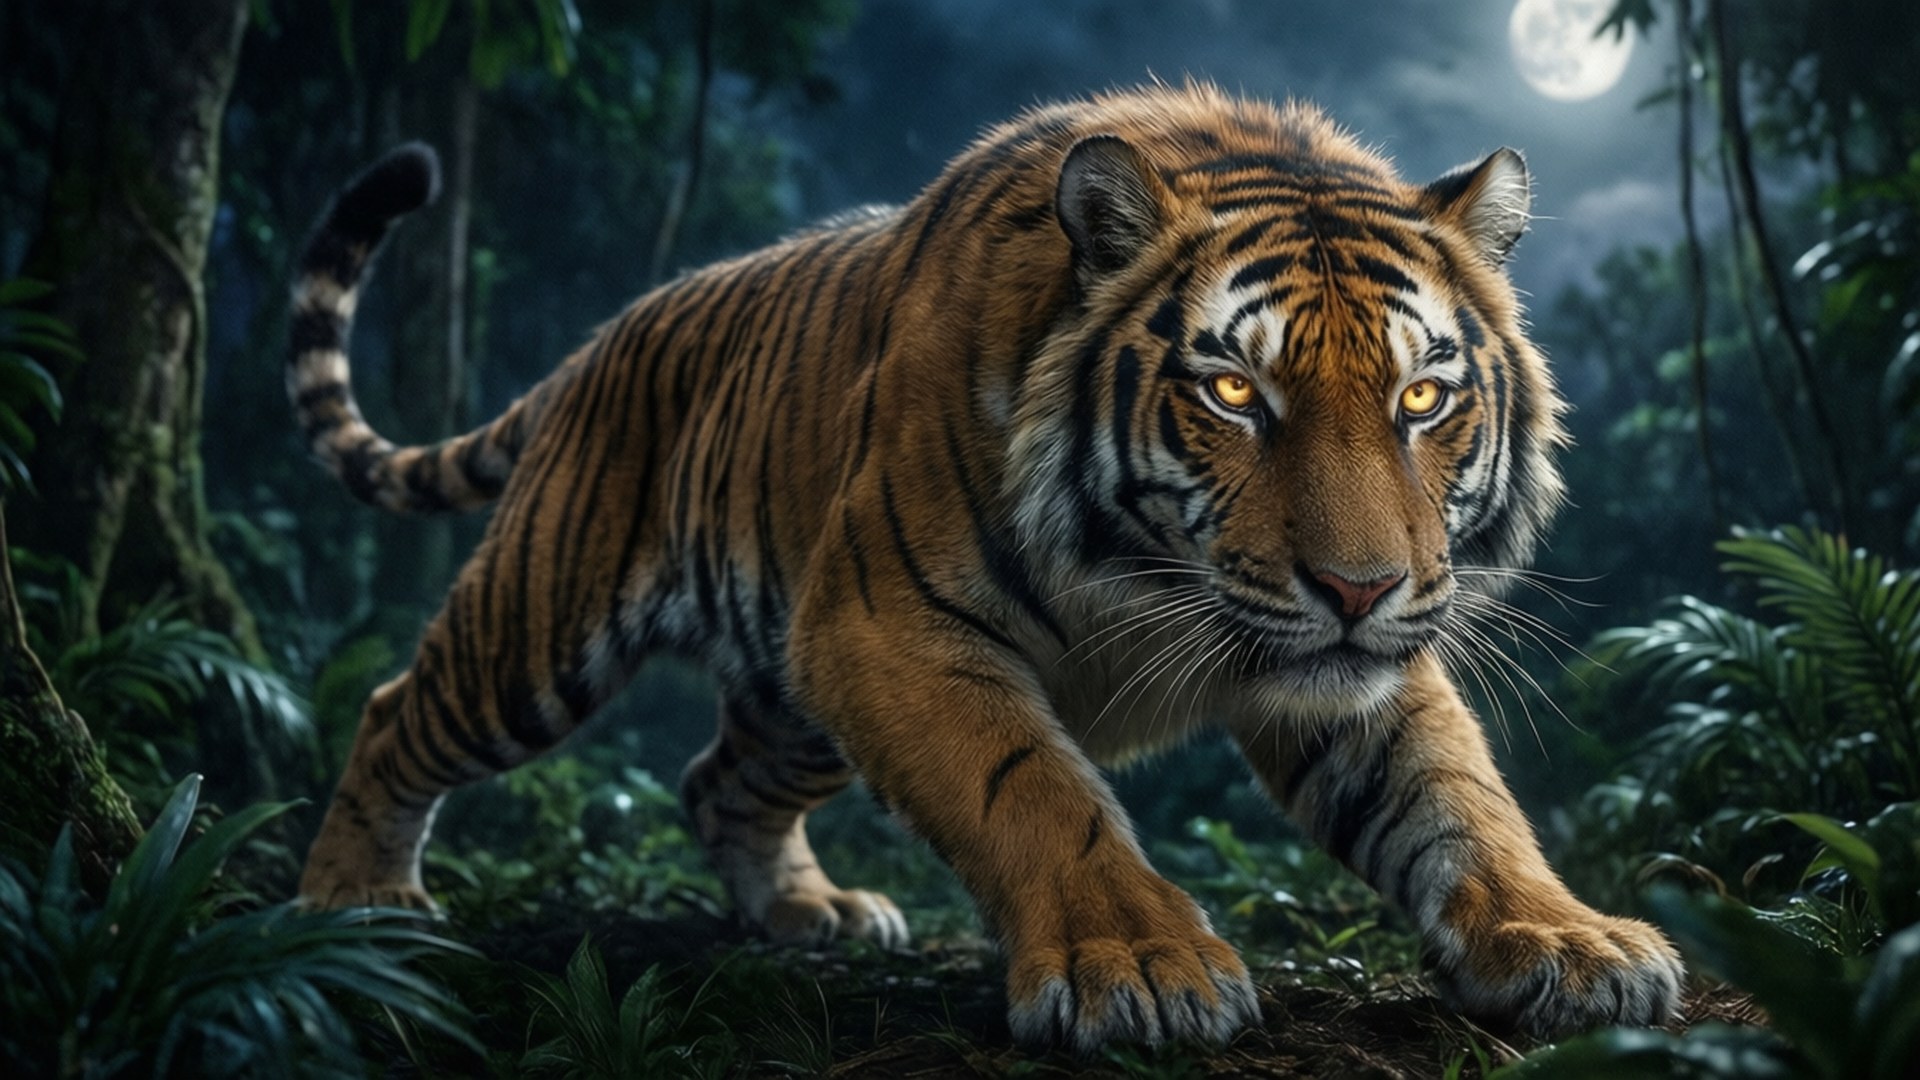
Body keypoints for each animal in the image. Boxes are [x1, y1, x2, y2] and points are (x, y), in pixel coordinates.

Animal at [289, 81, 1684, 1049]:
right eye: (1235, 393)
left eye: (1422, 398)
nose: (1358, 590)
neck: (1145, 577)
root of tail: (600, 341)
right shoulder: (889, 626)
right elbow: (1037, 791)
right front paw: (1141, 966)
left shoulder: (1364, 672)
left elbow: (1460, 801)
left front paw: (1570, 941)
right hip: (545, 624)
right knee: (397, 711)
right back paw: (352, 902)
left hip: (791, 695)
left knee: (711, 779)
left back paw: (808, 912)